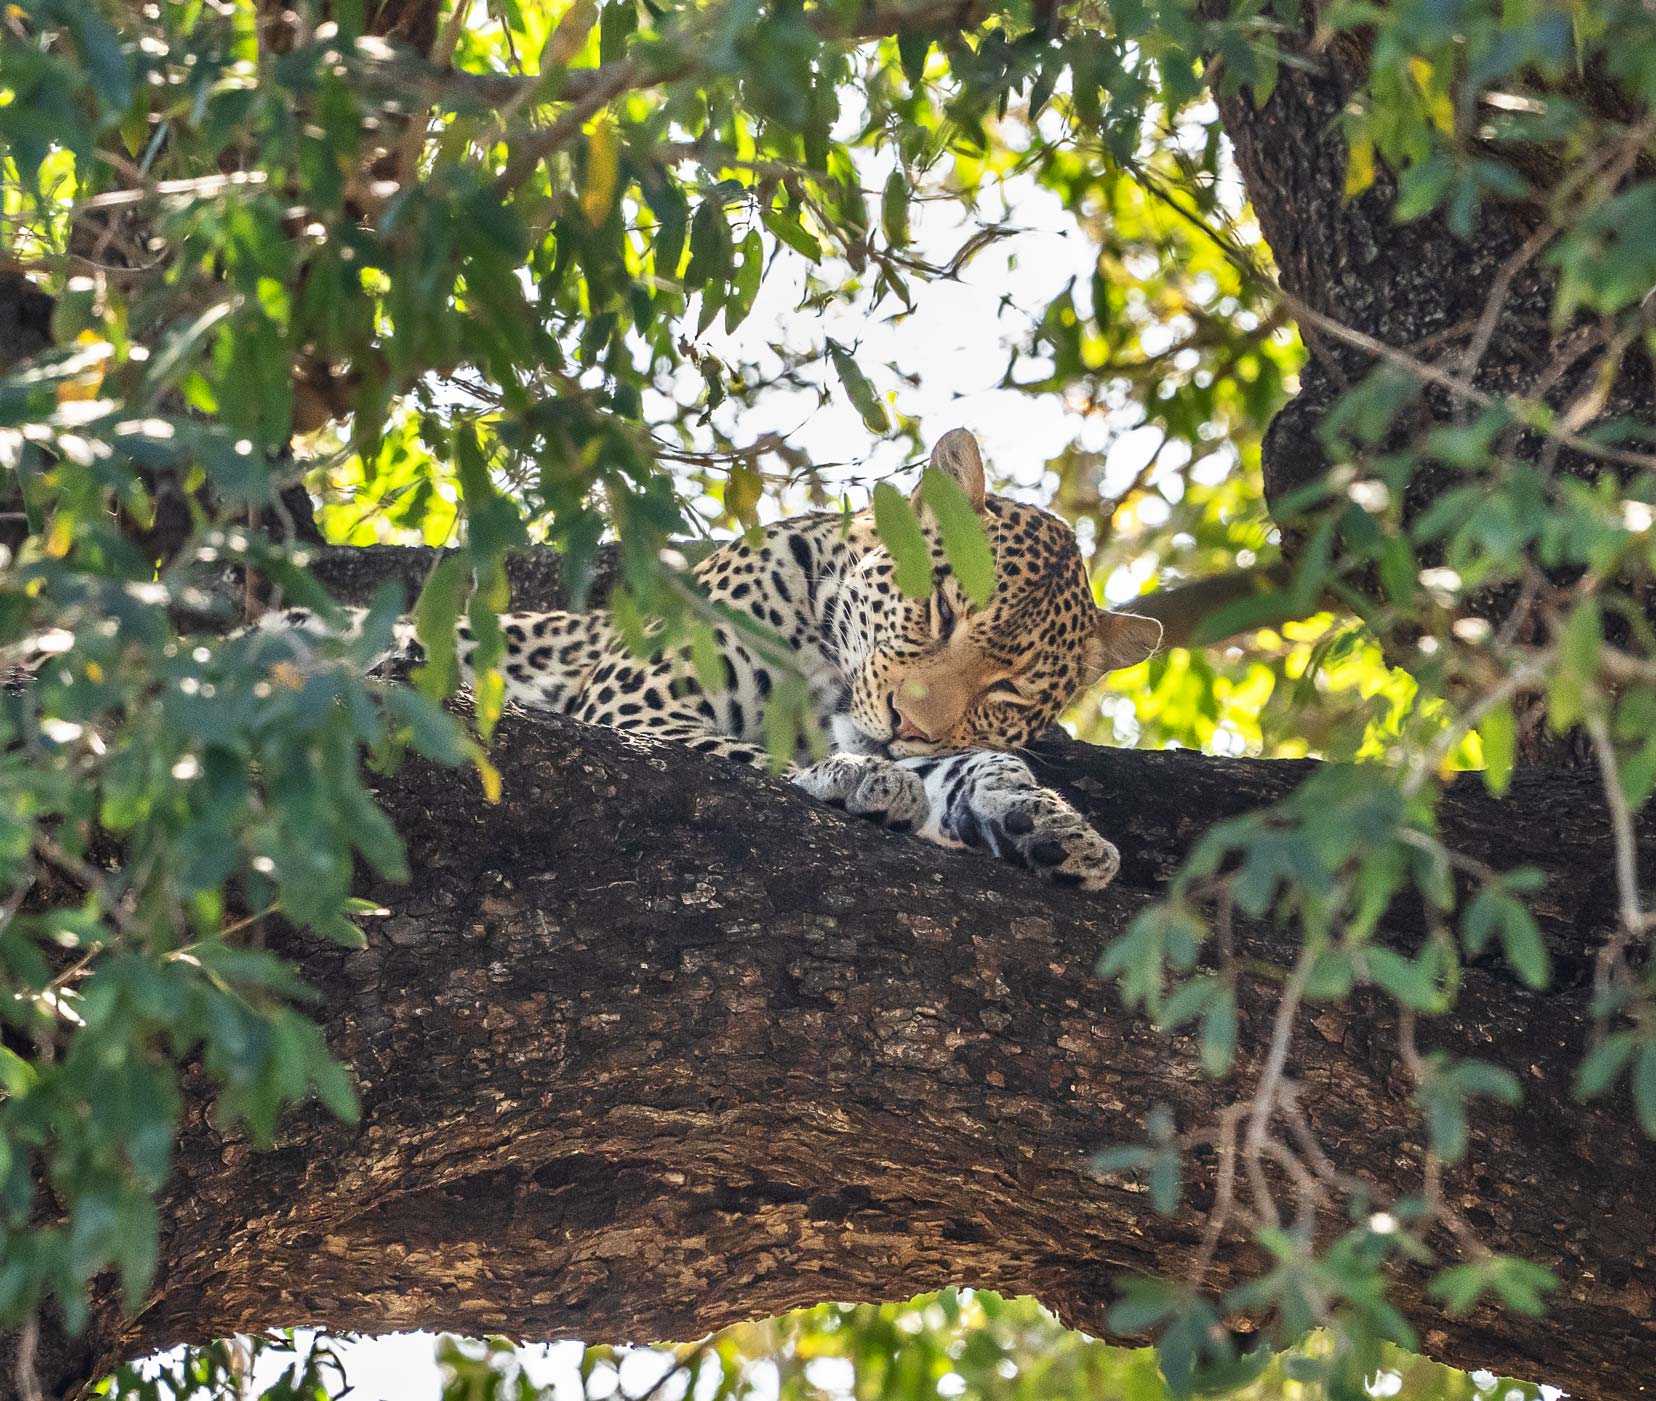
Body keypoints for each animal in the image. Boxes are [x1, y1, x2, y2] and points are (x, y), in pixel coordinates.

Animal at [261, 427, 1165, 887]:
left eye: (1007, 689)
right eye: (942, 610)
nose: (907, 721)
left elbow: (972, 766)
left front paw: (1048, 822)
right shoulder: (635, 704)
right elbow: (742, 757)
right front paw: (859, 777)